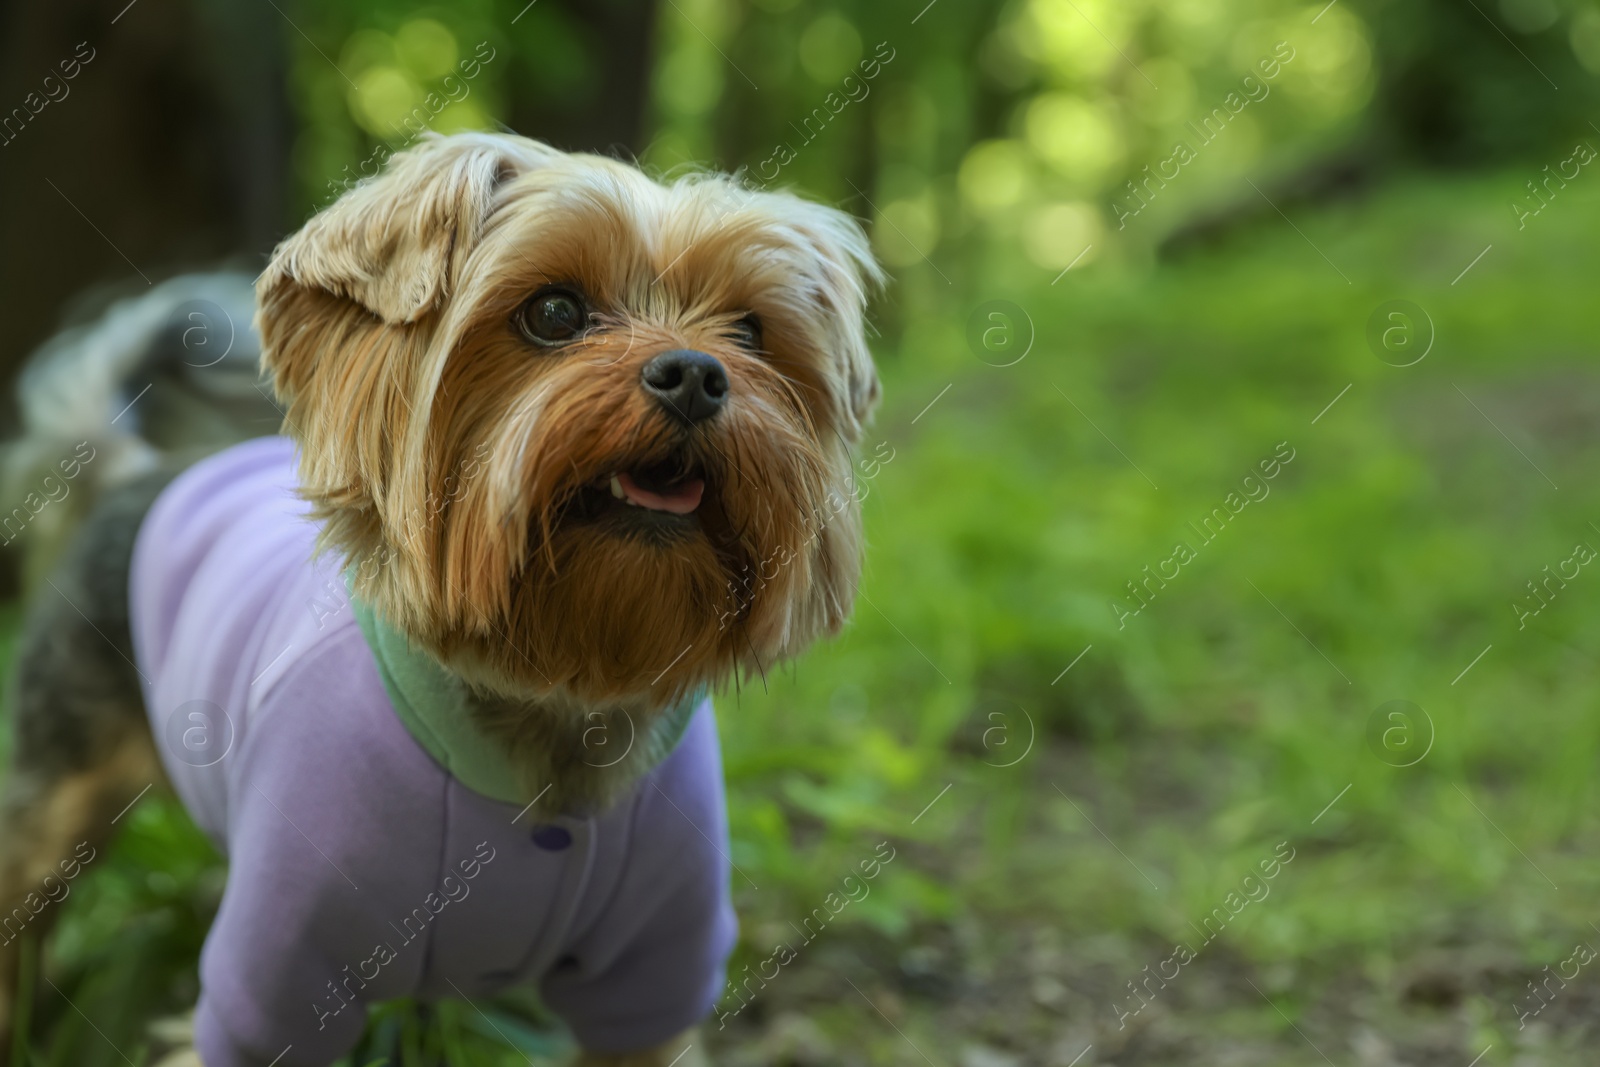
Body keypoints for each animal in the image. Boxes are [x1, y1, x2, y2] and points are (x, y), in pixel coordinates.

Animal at [0, 129, 883, 1062]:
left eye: (751, 331)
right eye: (554, 313)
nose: (696, 373)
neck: (555, 696)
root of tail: (139, 471)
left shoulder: (654, 974)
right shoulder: (272, 975)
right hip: (60, 777)